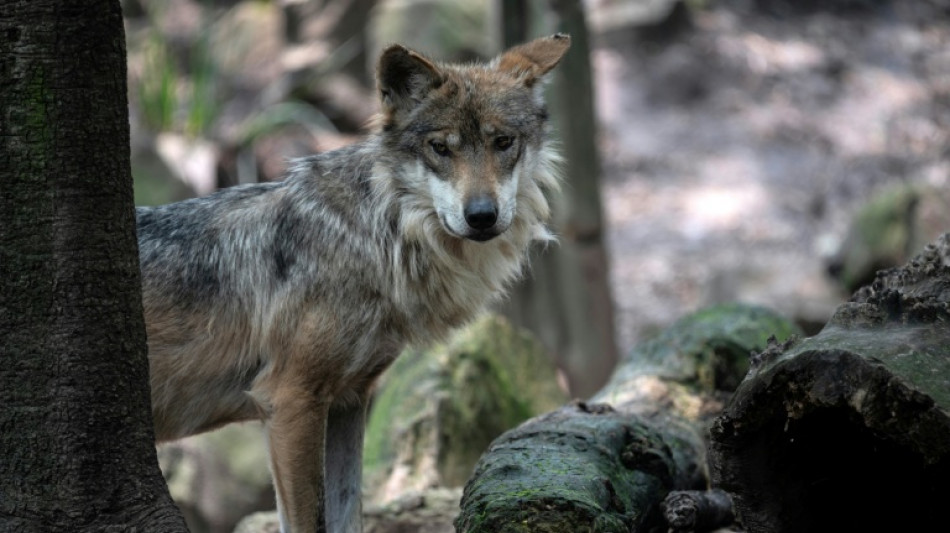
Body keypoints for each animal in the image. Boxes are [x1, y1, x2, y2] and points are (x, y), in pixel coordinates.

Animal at [136, 34, 571, 533]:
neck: (376, 233)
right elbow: (310, 522)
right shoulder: (290, 400)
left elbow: (348, 515)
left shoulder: (348, 399)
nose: (482, 215)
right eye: (440, 148)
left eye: (503, 142)